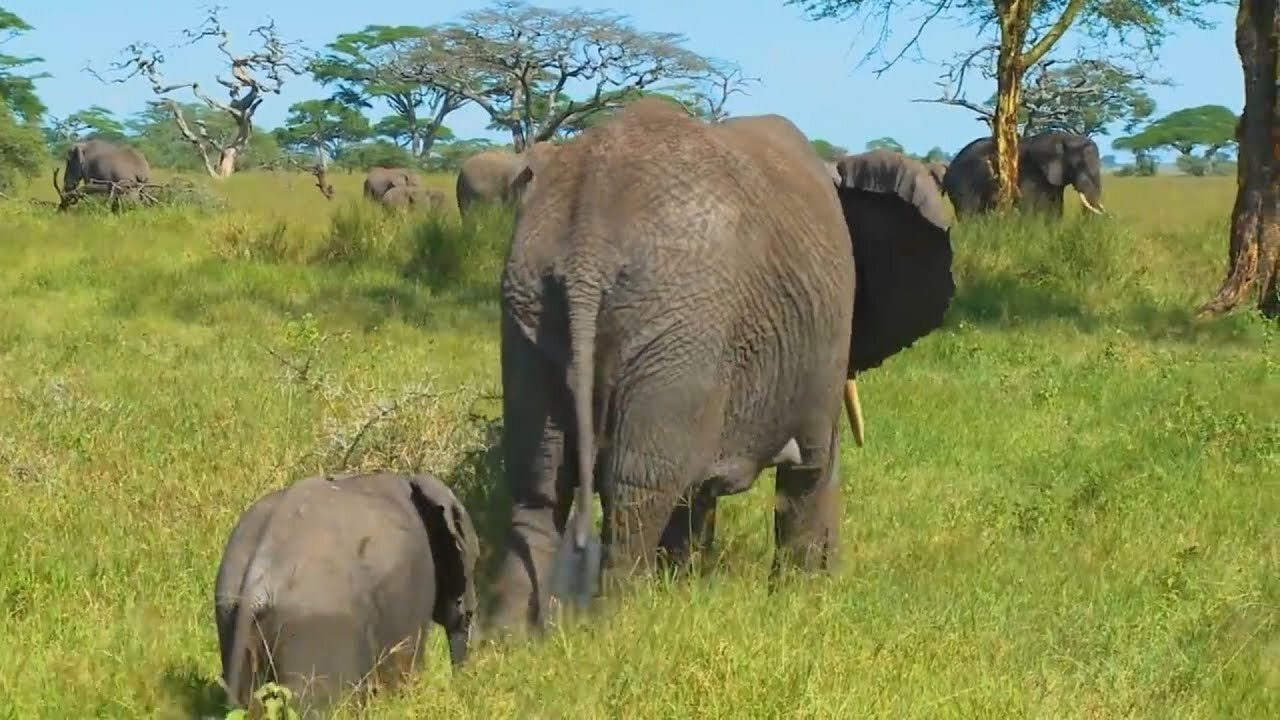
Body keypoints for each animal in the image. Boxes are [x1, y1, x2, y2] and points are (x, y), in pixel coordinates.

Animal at [483, 95, 957, 632]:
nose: (837, 574)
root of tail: (588, 246)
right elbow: (811, 467)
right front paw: (800, 598)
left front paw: (685, 584)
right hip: (677, 323)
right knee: (637, 485)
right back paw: (621, 625)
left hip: (529, 303)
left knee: (539, 485)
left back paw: (504, 639)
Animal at [942, 130, 1111, 215]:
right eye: (1078, 165)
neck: (1064, 137)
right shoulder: (1031, 175)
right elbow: (1035, 207)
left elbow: (1055, 208)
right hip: (962, 182)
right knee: (969, 213)